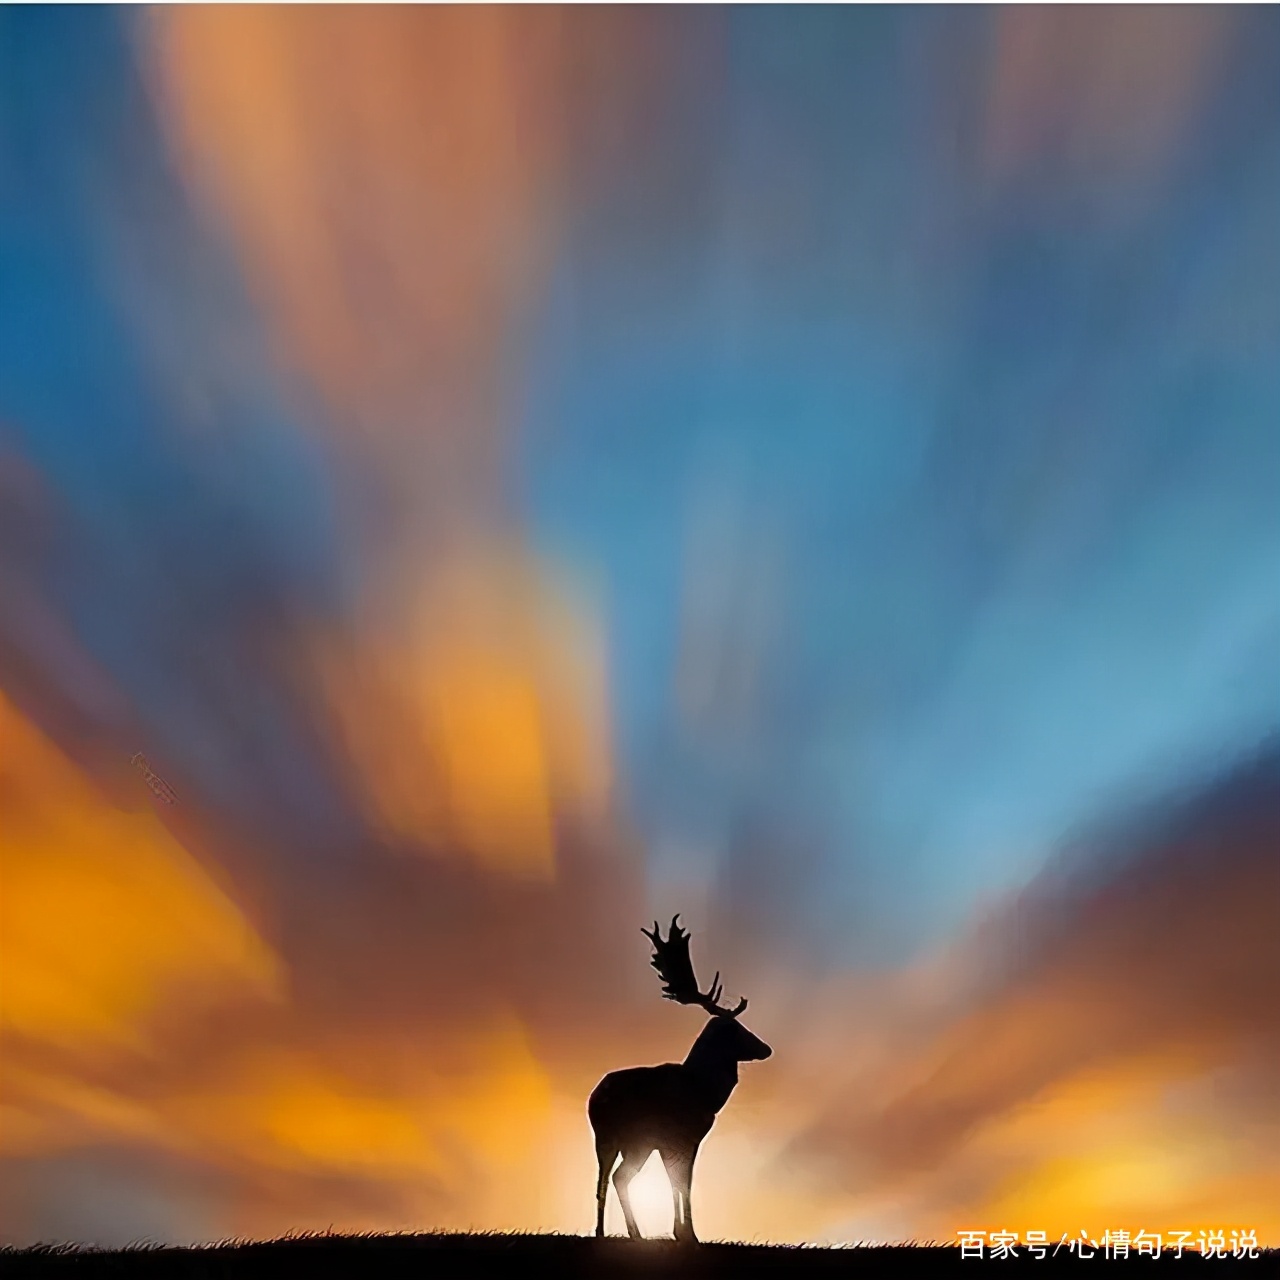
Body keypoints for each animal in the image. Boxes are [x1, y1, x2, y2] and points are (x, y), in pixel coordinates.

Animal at [586, 916, 768, 1244]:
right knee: (619, 1176)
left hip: (606, 1138)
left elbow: (676, 1180)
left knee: (603, 1180)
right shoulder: (685, 1136)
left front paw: (679, 1232)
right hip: (637, 1139)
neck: (705, 1092)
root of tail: (594, 1099)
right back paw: (634, 1234)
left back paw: (604, 1233)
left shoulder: (669, 1143)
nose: (766, 1048)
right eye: (737, 1028)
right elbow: (684, 1181)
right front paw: (688, 1234)